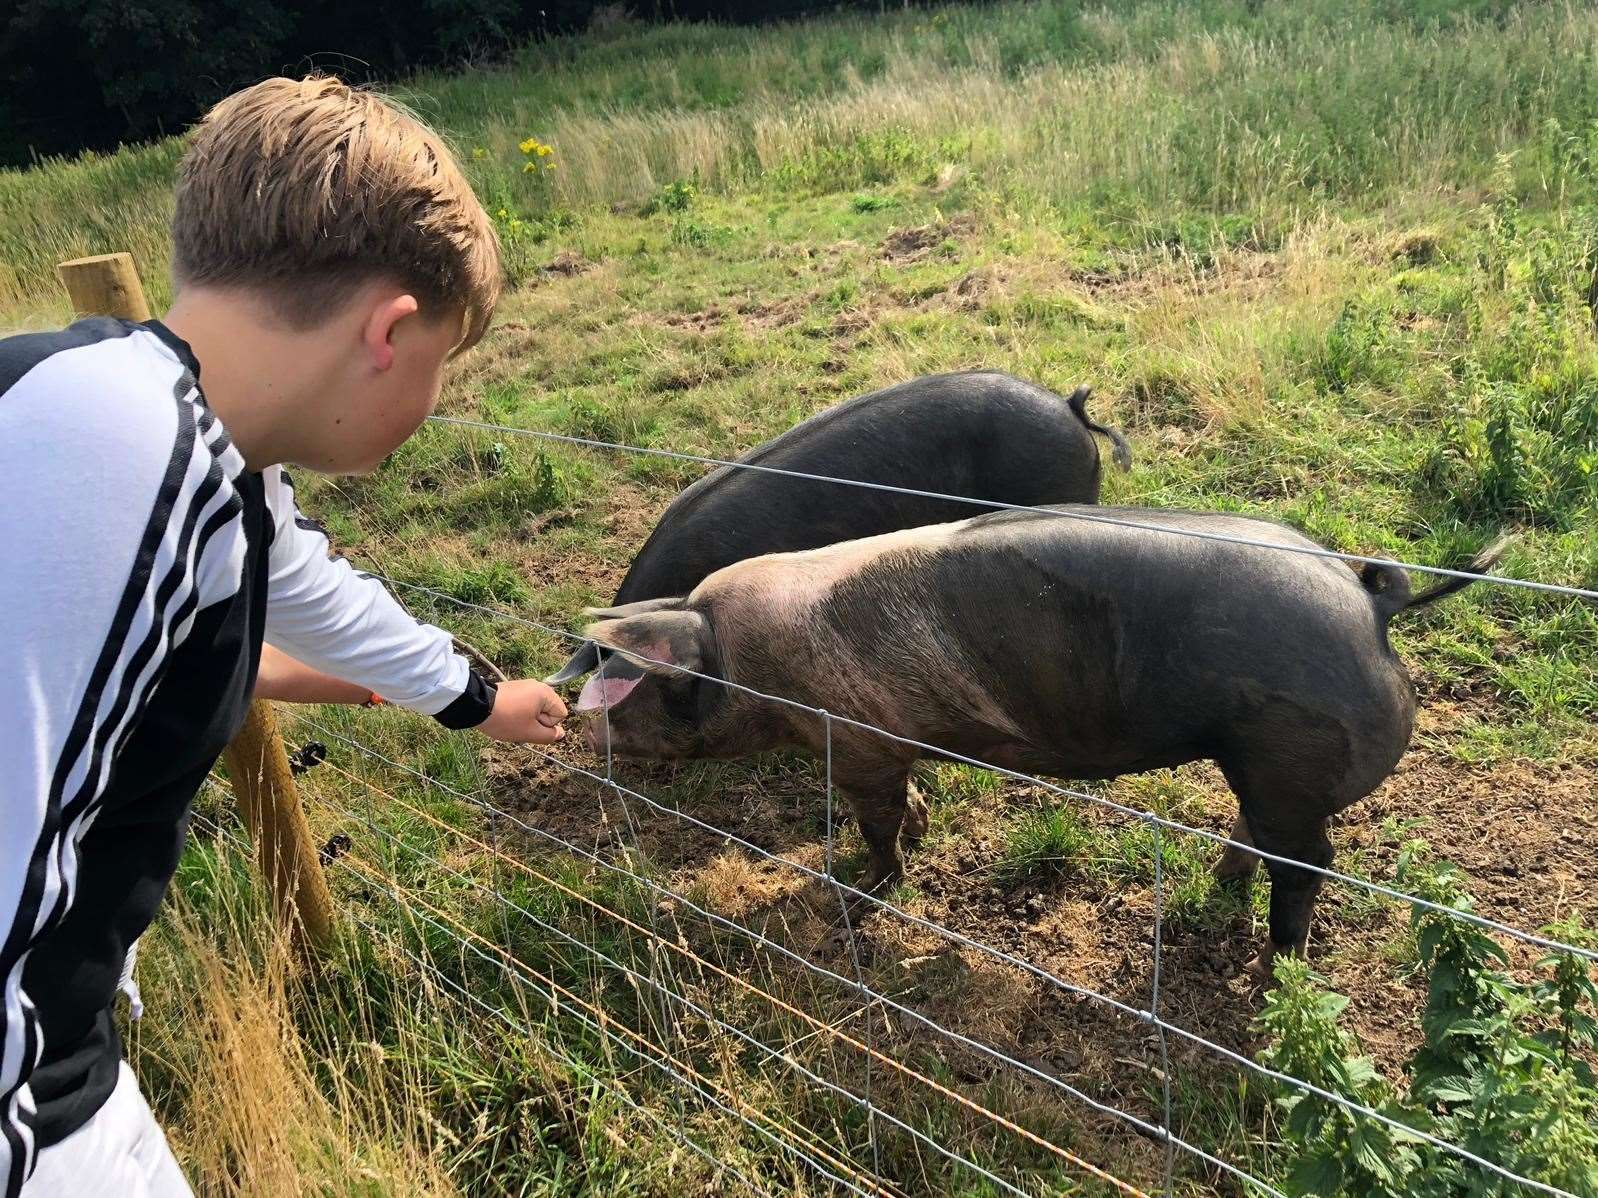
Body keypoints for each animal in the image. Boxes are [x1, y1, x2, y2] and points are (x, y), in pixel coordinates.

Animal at [572, 507, 1508, 977]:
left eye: (635, 686)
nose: (589, 739)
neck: (748, 665)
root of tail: (1370, 598)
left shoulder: (855, 738)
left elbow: (875, 825)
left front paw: (865, 892)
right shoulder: (894, 743)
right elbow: (910, 801)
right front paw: (920, 833)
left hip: (1290, 755)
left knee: (1312, 861)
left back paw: (1280, 966)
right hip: (1269, 769)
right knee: (1263, 836)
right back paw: (1221, 886)